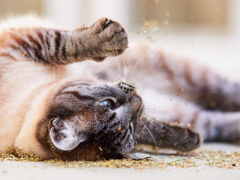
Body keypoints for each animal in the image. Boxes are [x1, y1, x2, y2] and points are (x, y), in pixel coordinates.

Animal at [0, 16, 238, 161]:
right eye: (128, 126)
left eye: (108, 103)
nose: (139, 100)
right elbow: (151, 130)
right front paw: (187, 140)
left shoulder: (25, 41)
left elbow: (62, 45)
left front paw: (108, 39)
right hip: (191, 108)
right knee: (216, 122)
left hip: (195, 77)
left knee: (225, 92)